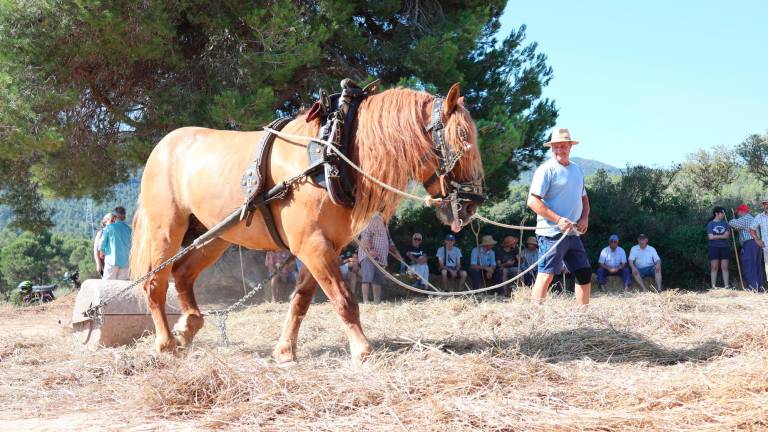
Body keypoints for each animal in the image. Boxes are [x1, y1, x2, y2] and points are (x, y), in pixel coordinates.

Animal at [129, 82, 484, 362]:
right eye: (461, 139)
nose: (472, 204)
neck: (333, 153)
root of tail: (162, 147)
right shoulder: (312, 244)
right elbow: (344, 299)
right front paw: (362, 349)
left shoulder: (322, 247)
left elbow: (300, 301)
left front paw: (286, 350)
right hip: (166, 230)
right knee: (155, 282)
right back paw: (166, 343)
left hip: (213, 235)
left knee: (182, 274)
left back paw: (187, 327)